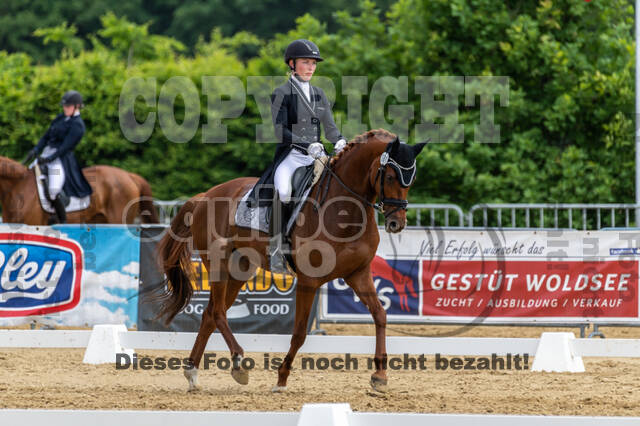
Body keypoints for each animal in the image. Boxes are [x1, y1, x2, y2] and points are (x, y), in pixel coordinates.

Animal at [156, 129, 427, 392]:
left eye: (412, 179)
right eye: (390, 177)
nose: (396, 223)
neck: (344, 211)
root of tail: (205, 196)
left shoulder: (358, 273)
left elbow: (380, 315)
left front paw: (380, 376)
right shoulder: (309, 281)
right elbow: (299, 333)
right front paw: (281, 379)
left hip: (240, 269)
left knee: (210, 314)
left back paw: (193, 374)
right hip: (218, 264)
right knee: (219, 312)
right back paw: (239, 363)